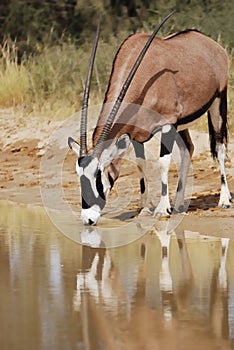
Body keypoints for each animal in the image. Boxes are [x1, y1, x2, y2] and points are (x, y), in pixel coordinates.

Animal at [68, 12, 232, 226]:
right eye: (80, 176)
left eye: (99, 174)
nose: (88, 219)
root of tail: (212, 44)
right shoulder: (137, 134)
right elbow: (141, 163)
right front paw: (143, 208)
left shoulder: (168, 125)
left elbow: (163, 162)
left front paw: (162, 209)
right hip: (182, 124)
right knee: (188, 149)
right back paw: (178, 203)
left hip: (218, 102)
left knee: (220, 147)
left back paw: (224, 200)